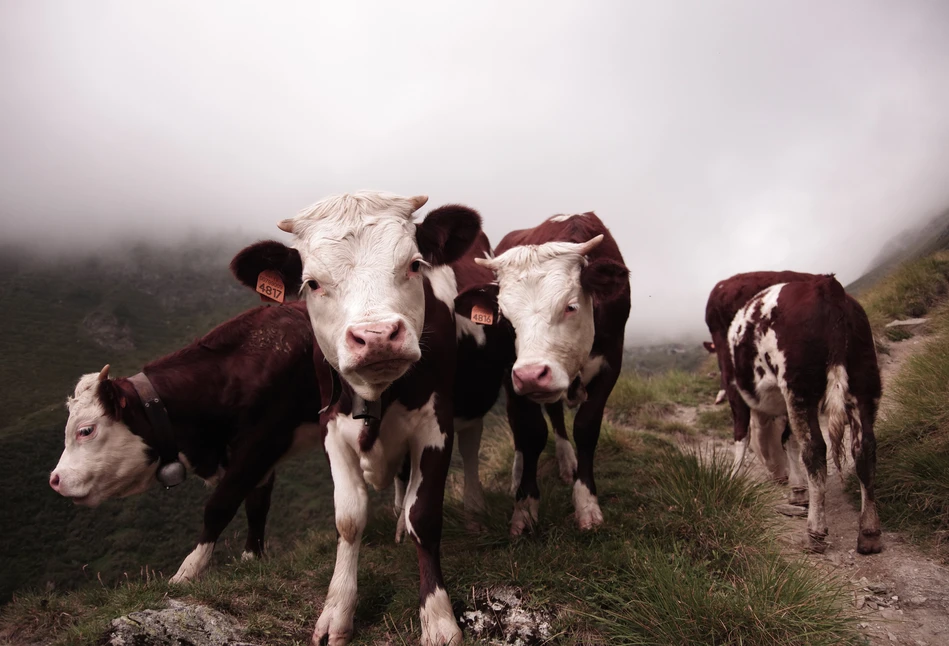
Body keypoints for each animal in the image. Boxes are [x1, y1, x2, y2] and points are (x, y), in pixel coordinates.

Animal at [51, 302, 326, 584]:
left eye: (85, 430)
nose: (55, 480)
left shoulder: (260, 444)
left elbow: (219, 506)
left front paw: (188, 571)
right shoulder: (255, 457)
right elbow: (256, 505)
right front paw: (251, 559)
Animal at [231, 192, 482, 646]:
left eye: (414, 264)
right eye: (312, 283)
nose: (378, 337)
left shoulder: (436, 424)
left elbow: (424, 516)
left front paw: (438, 618)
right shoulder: (332, 429)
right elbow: (348, 520)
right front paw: (337, 611)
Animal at [454, 213, 628, 536]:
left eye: (570, 306)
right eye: (505, 318)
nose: (532, 374)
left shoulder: (611, 363)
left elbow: (586, 428)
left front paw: (587, 504)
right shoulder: (514, 375)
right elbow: (531, 433)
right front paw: (524, 508)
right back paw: (519, 472)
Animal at [716, 274, 884, 556]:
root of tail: (826, 285)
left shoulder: (735, 388)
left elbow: (742, 435)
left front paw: (731, 478)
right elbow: (789, 440)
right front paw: (798, 491)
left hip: (799, 387)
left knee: (815, 449)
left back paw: (815, 532)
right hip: (864, 381)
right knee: (864, 448)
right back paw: (869, 533)